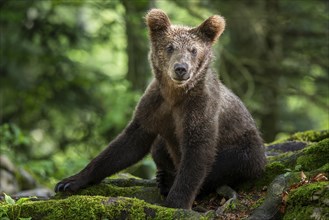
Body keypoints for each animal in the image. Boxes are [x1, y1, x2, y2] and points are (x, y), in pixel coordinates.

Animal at [55, 9, 266, 210]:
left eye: (193, 50)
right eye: (170, 47)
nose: (181, 68)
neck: (176, 95)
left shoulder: (201, 108)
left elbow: (198, 154)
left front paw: (176, 203)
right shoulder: (154, 106)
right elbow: (128, 144)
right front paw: (70, 181)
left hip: (247, 148)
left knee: (229, 163)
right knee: (158, 147)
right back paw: (163, 178)